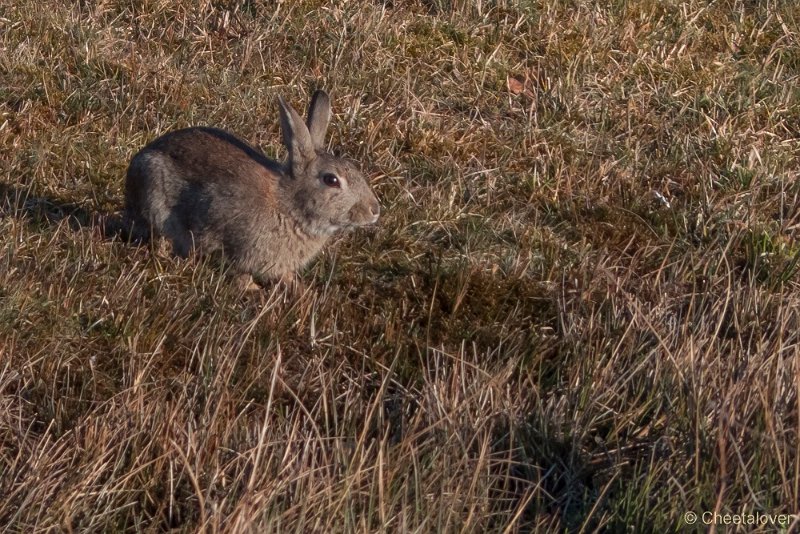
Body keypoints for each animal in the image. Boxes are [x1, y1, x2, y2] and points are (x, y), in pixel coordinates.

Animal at [122, 89, 382, 288]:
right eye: (331, 180)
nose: (375, 210)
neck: (289, 206)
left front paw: (299, 289)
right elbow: (238, 272)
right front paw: (252, 290)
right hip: (154, 197)